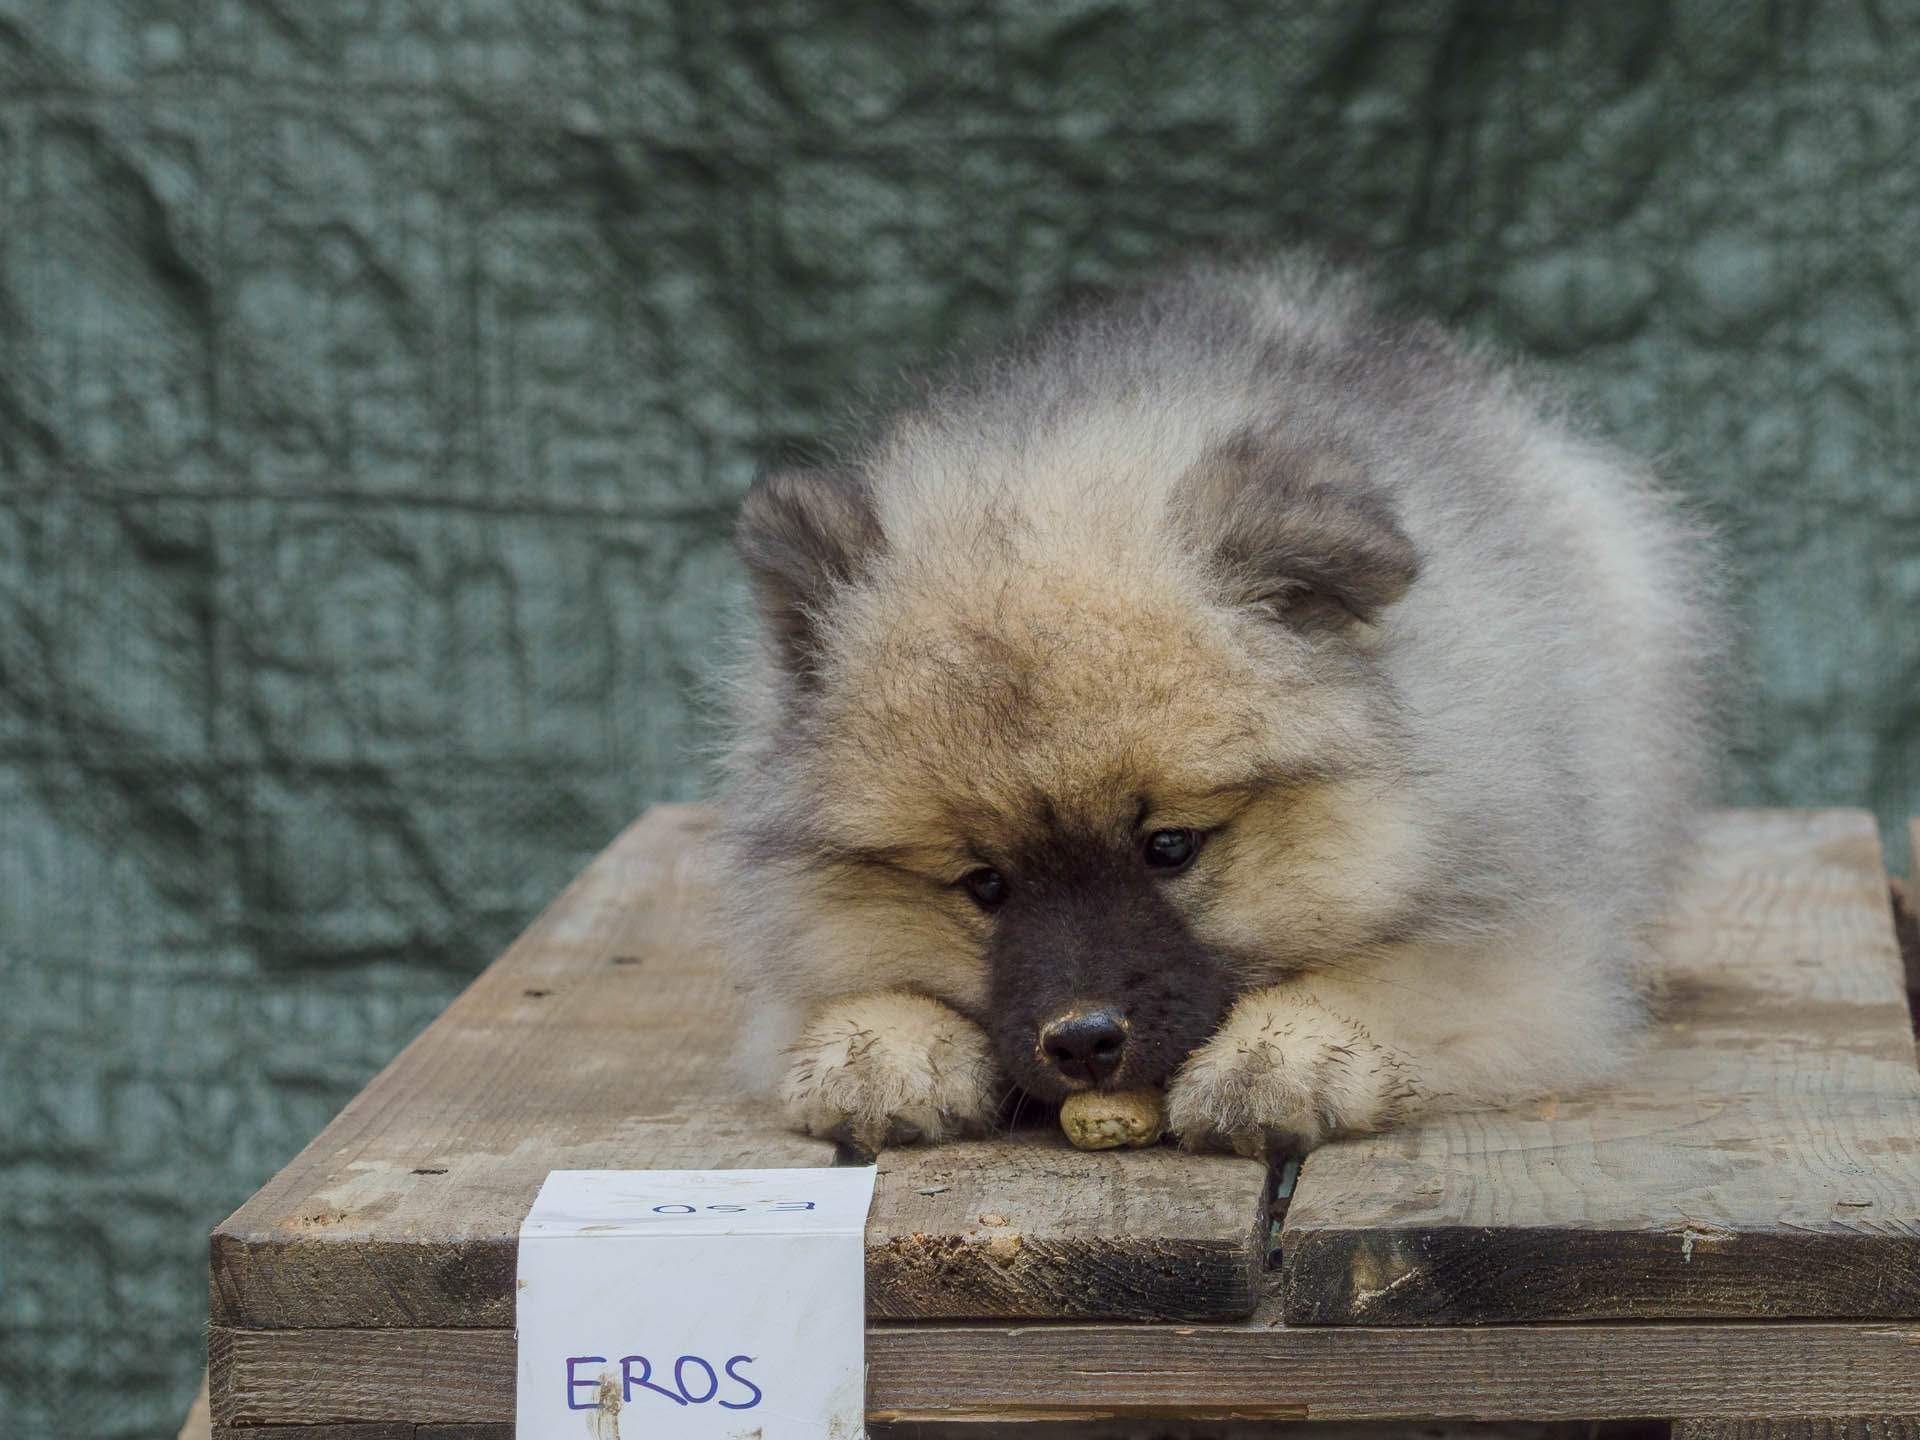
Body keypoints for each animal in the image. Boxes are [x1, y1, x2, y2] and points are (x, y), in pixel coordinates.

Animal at [714, 257, 1720, 1159]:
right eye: (984, 884)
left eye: (1170, 846)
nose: (1082, 1041)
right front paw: (882, 1045)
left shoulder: (1524, 953)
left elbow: (1392, 978)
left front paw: (1284, 1055)